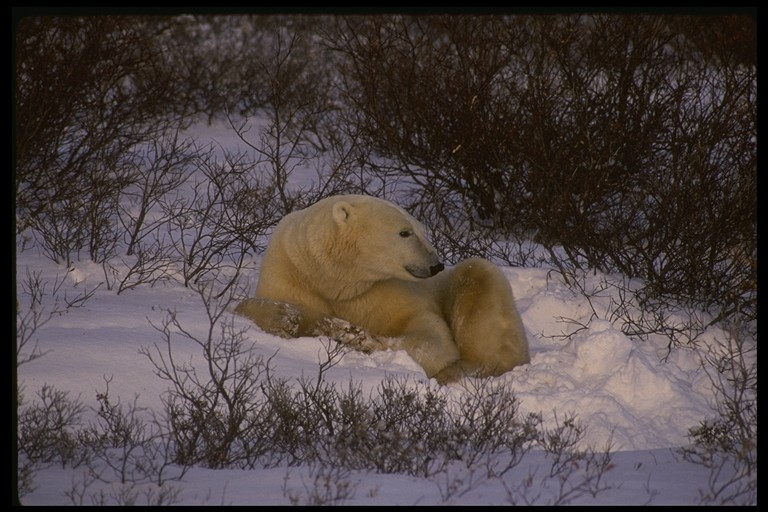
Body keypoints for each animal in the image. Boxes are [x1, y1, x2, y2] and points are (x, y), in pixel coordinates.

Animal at [237, 195, 532, 384]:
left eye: (421, 230)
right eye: (404, 232)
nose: (436, 265)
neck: (336, 279)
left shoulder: (384, 291)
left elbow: (427, 332)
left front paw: (356, 335)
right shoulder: (292, 274)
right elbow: (257, 306)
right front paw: (294, 319)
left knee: (478, 274)